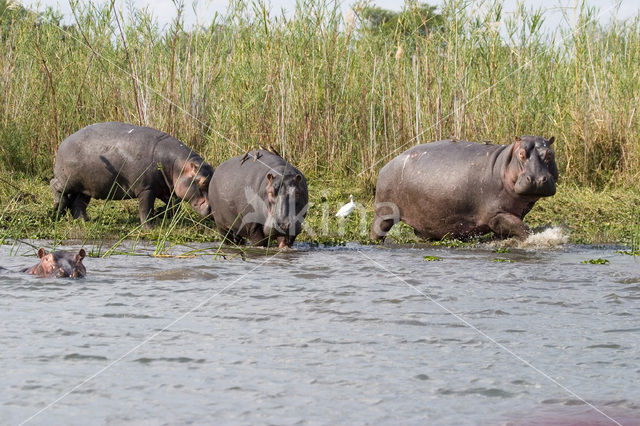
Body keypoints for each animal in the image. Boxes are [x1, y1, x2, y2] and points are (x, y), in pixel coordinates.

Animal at [51, 121, 214, 226]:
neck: (176, 165)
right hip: (68, 180)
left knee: (78, 203)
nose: (213, 209)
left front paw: (161, 214)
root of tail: (64, 141)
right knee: (55, 185)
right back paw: (58, 205)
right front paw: (149, 227)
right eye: (203, 182)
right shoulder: (146, 188)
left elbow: (174, 206)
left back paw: (85, 221)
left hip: (88, 186)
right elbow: (145, 209)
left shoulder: (166, 188)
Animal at [372, 137, 556, 241]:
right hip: (384, 213)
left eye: (550, 153)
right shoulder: (496, 215)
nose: (537, 179)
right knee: (378, 230)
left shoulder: (516, 212)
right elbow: (523, 229)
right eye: (521, 154)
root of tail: (387, 164)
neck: (505, 163)